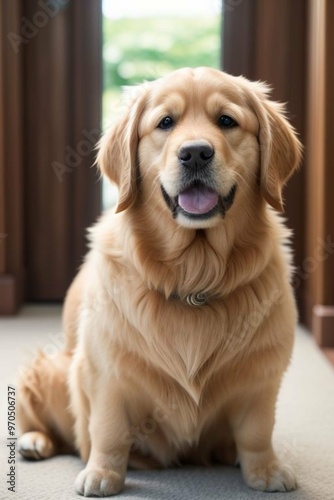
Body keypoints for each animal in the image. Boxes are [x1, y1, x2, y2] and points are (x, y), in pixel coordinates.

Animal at [17, 66, 302, 496]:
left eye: (227, 121)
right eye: (166, 123)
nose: (195, 153)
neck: (195, 274)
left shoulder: (261, 372)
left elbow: (256, 431)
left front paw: (265, 470)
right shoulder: (106, 371)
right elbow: (109, 430)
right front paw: (103, 473)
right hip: (50, 370)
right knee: (46, 424)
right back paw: (34, 440)